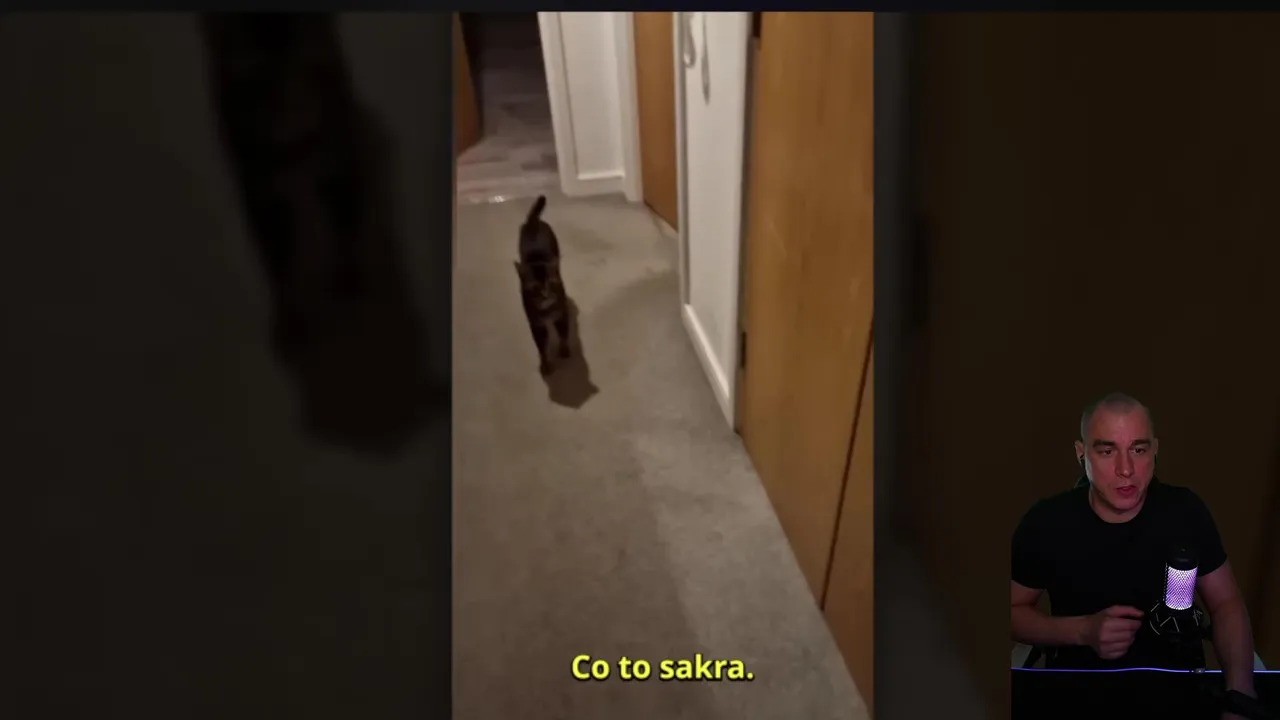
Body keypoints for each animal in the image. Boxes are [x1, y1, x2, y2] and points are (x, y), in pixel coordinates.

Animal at [515, 195, 572, 375]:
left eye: (551, 284)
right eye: (534, 288)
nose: (545, 293)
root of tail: (534, 221)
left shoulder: (561, 315)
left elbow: (563, 334)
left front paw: (564, 350)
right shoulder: (536, 324)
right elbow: (541, 348)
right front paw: (545, 365)